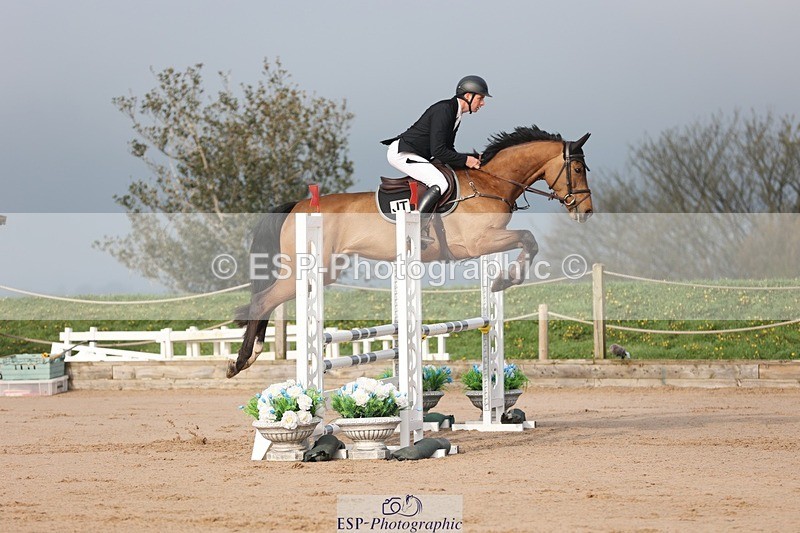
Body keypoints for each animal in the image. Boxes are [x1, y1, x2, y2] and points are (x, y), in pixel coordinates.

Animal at [227, 126, 594, 378]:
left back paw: (250, 354)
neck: (489, 184)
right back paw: (241, 361)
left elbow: (527, 242)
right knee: (263, 300)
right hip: (309, 268)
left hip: (324, 271)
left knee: (268, 299)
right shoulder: (479, 243)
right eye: (577, 170)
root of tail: (297, 206)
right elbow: (529, 239)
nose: (587, 212)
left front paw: (504, 279)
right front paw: (505, 280)